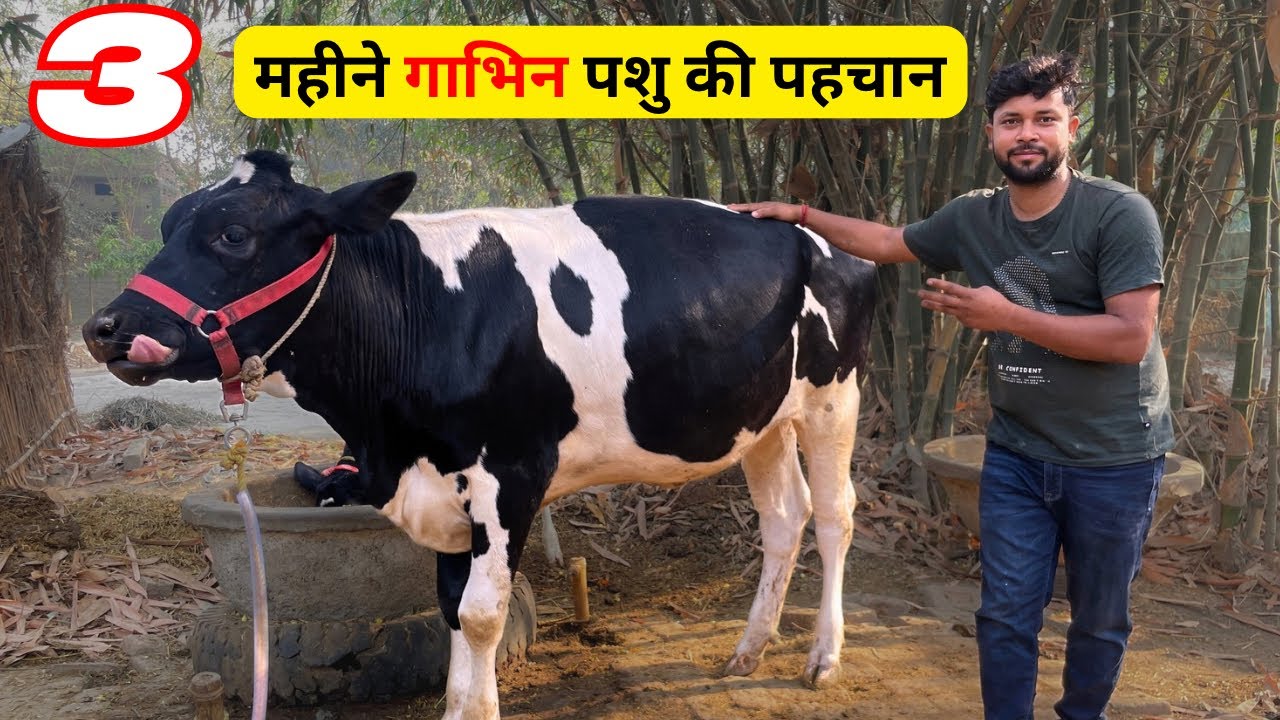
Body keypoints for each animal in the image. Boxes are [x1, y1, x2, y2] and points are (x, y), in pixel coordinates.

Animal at [82, 150, 876, 720]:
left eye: (233, 233)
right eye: (168, 225)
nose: (105, 327)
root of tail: (820, 237)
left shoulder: (512, 476)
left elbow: (482, 615)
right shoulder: (443, 487)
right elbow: (451, 613)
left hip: (834, 398)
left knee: (834, 517)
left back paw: (824, 658)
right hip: (763, 419)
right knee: (783, 517)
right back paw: (748, 650)